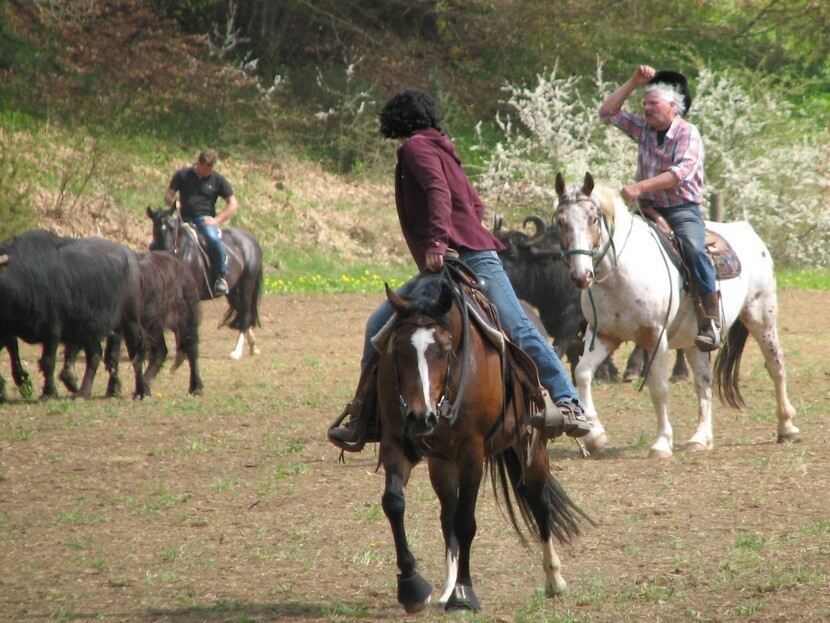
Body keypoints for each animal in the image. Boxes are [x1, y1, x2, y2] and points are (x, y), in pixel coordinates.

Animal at [148, 207, 262, 358]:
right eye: (155, 228)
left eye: (172, 228)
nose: (165, 252)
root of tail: (251, 241)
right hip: (232, 291)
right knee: (241, 310)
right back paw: (252, 344)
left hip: (246, 286)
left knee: (245, 315)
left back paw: (237, 352)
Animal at [374, 270, 588, 616]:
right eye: (400, 350)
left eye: (444, 349)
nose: (421, 418)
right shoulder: (396, 441)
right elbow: (394, 503)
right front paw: (411, 586)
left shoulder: (471, 452)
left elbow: (466, 521)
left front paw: (464, 594)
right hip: (441, 463)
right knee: (447, 513)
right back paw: (446, 587)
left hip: (530, 449)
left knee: (539, 502)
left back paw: (554, 580)